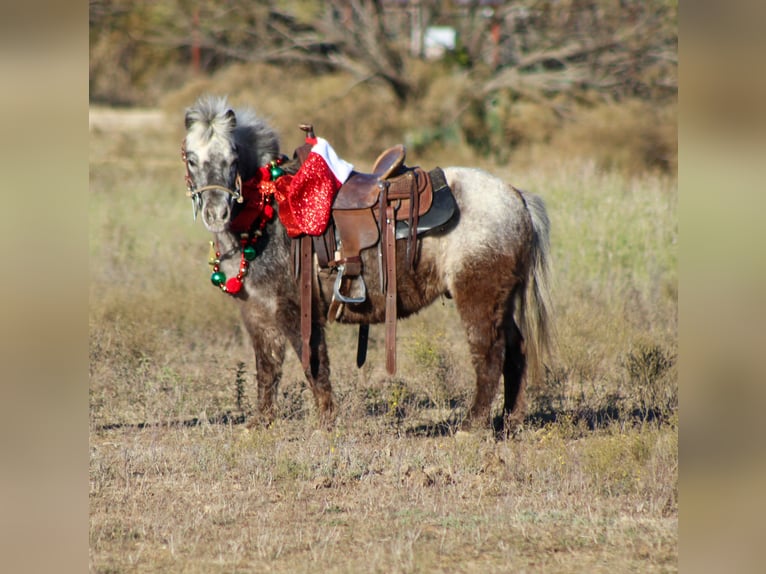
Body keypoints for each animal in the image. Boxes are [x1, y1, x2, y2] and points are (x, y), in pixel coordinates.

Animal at [182, 94, 553, 431]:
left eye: (232, 158)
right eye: (191, 159)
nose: (216, 212)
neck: (269, 208)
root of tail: (515, 196)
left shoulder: (294, 309)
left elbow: (313, 364)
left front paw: (326, 423)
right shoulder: (257, 313)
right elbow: (267, 368)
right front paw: (261, 423)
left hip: (479, 296)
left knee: (489, 353)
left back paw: (472, 425)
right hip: (501, 300)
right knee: (516, 350)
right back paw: (510, 420)